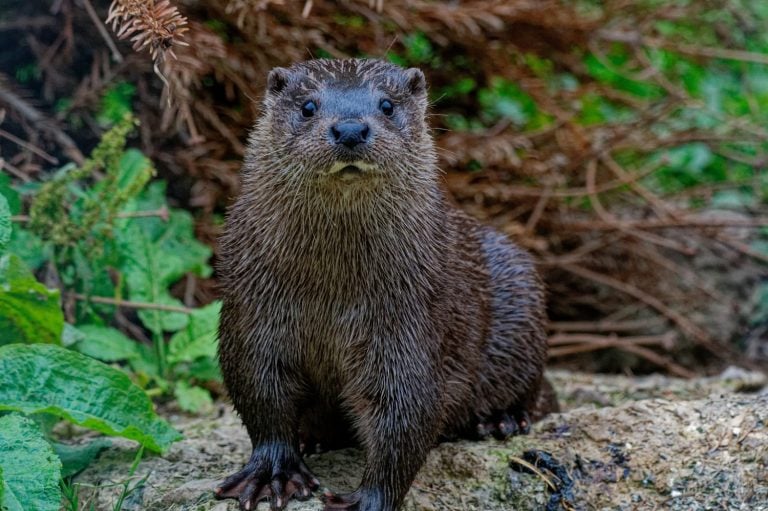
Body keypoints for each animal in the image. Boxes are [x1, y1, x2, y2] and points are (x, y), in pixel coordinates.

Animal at [215, 58, 555, 511]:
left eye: (387, 105)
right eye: (308, 106)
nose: (350, 129)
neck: (331, 289)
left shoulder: (408, 320)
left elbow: (405, 411)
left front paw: (370, 499)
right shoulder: (252, 310)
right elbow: (261, 394)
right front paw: (273, 472)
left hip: (521, 290)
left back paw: (501, 420)